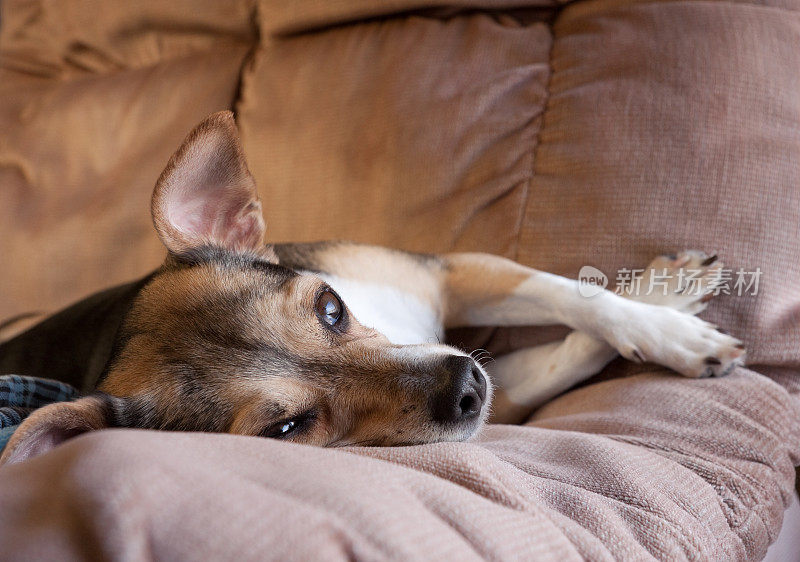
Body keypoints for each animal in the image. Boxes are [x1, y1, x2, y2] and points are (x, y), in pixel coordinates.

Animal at [0, 111, 744, 462]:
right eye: (288, 427)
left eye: (331, 307)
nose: (467, 386)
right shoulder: (493, 395)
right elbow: (564, 350)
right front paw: (675, 324)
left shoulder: (450, 274)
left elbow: (576, 300)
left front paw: (666, 316)